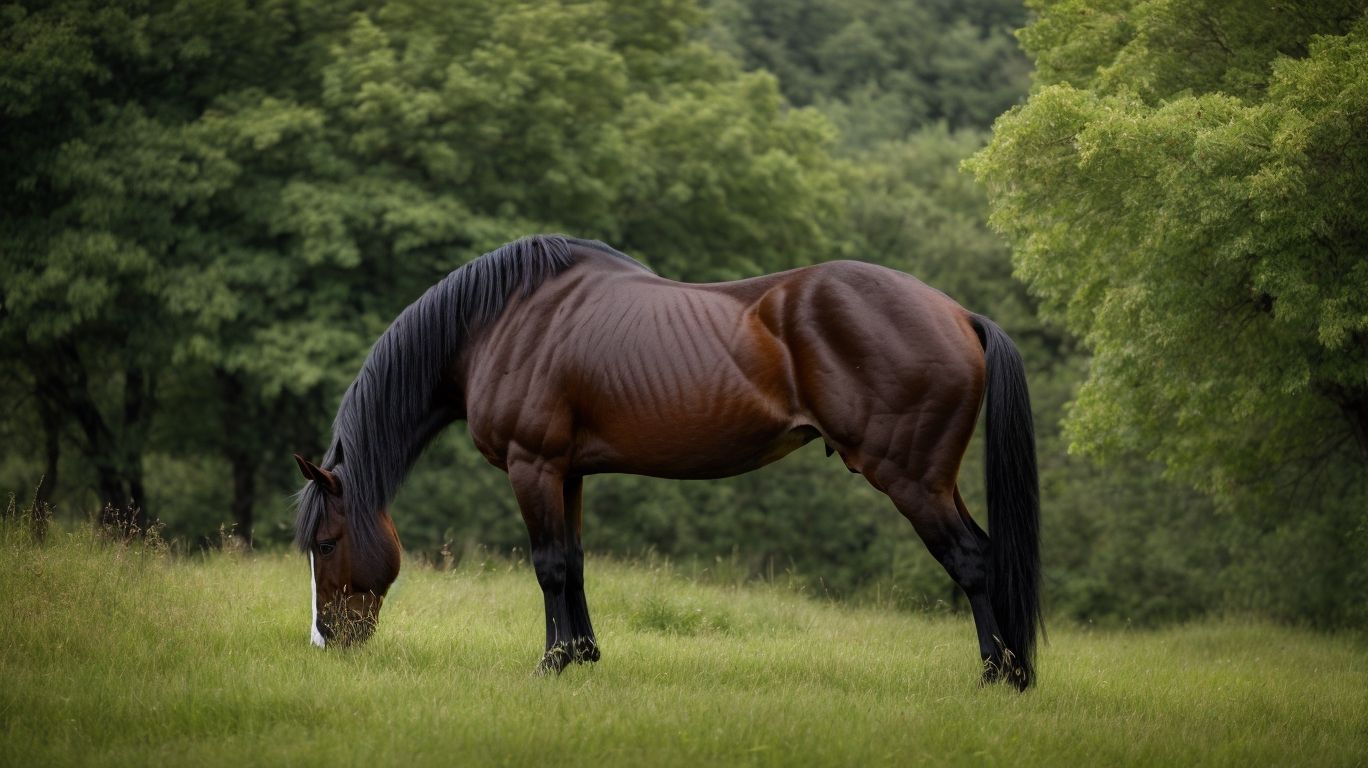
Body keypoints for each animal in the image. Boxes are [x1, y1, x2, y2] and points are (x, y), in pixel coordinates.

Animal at [294, 234, 1042, 689]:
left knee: (973, 561)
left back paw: (999, 676)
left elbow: (549, 566)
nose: (327, 640)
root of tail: (959, 314)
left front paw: (551, 665)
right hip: (934, 478)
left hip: (911, 478)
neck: (501, 323)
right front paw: (584, 656)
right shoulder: (566, 472)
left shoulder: (532, 466)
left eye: (326, 542)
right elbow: (573, 563)